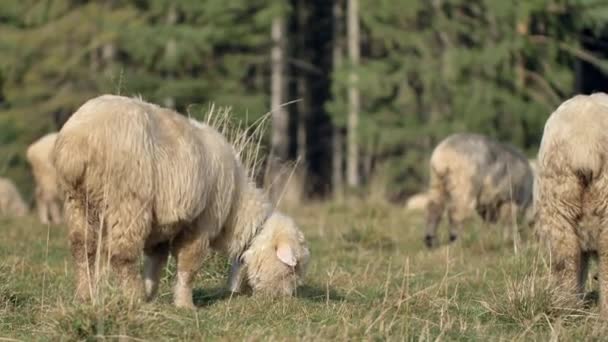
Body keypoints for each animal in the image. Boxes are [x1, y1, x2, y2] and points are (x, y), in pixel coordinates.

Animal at [54, 95, 312, 308]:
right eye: (292, 269)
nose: (284, 301)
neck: (235, 209)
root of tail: (77, 142)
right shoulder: (201, 223)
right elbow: (189, 266)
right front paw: (185, 304)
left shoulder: (160, 229)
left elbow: (155, 263)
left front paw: (151, 295)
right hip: (126, 200)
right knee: (122, 255)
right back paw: (132, 298)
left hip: (78, 202)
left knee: (82, 249)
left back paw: (85, 296)